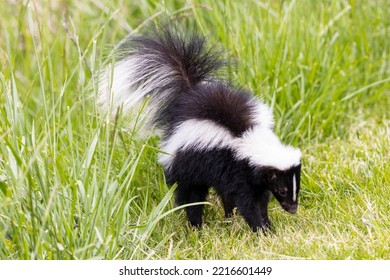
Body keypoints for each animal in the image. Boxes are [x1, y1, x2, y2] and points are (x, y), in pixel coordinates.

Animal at [97, 25, 302, 232]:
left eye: (296, 187)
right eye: (282, 190)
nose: (293, 209)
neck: (247, 138)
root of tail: (189, 97)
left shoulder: (251, 178)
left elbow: (259, 200)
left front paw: (267, 225)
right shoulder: (238, 172)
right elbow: (247, 204)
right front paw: (260, 229)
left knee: (220, 195)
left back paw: (227, 218)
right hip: (187, 166)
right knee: (191, 197)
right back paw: (196, 226)